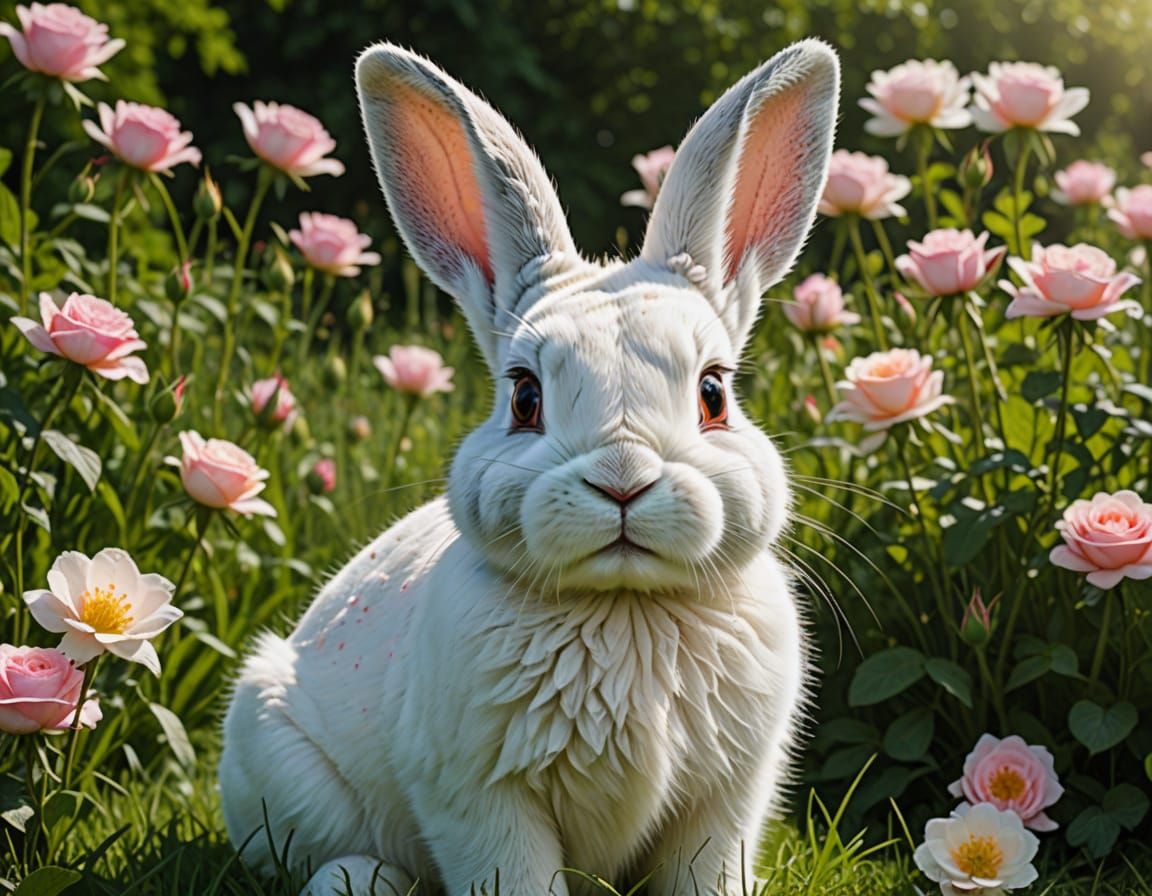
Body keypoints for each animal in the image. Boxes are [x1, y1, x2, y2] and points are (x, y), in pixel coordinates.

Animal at [218, 36, 840, 896]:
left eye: (714, 393)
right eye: (524, 397)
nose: (623, 479)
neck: (625, 608)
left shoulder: (725, 804)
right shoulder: (480, 800)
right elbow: (512, 873)